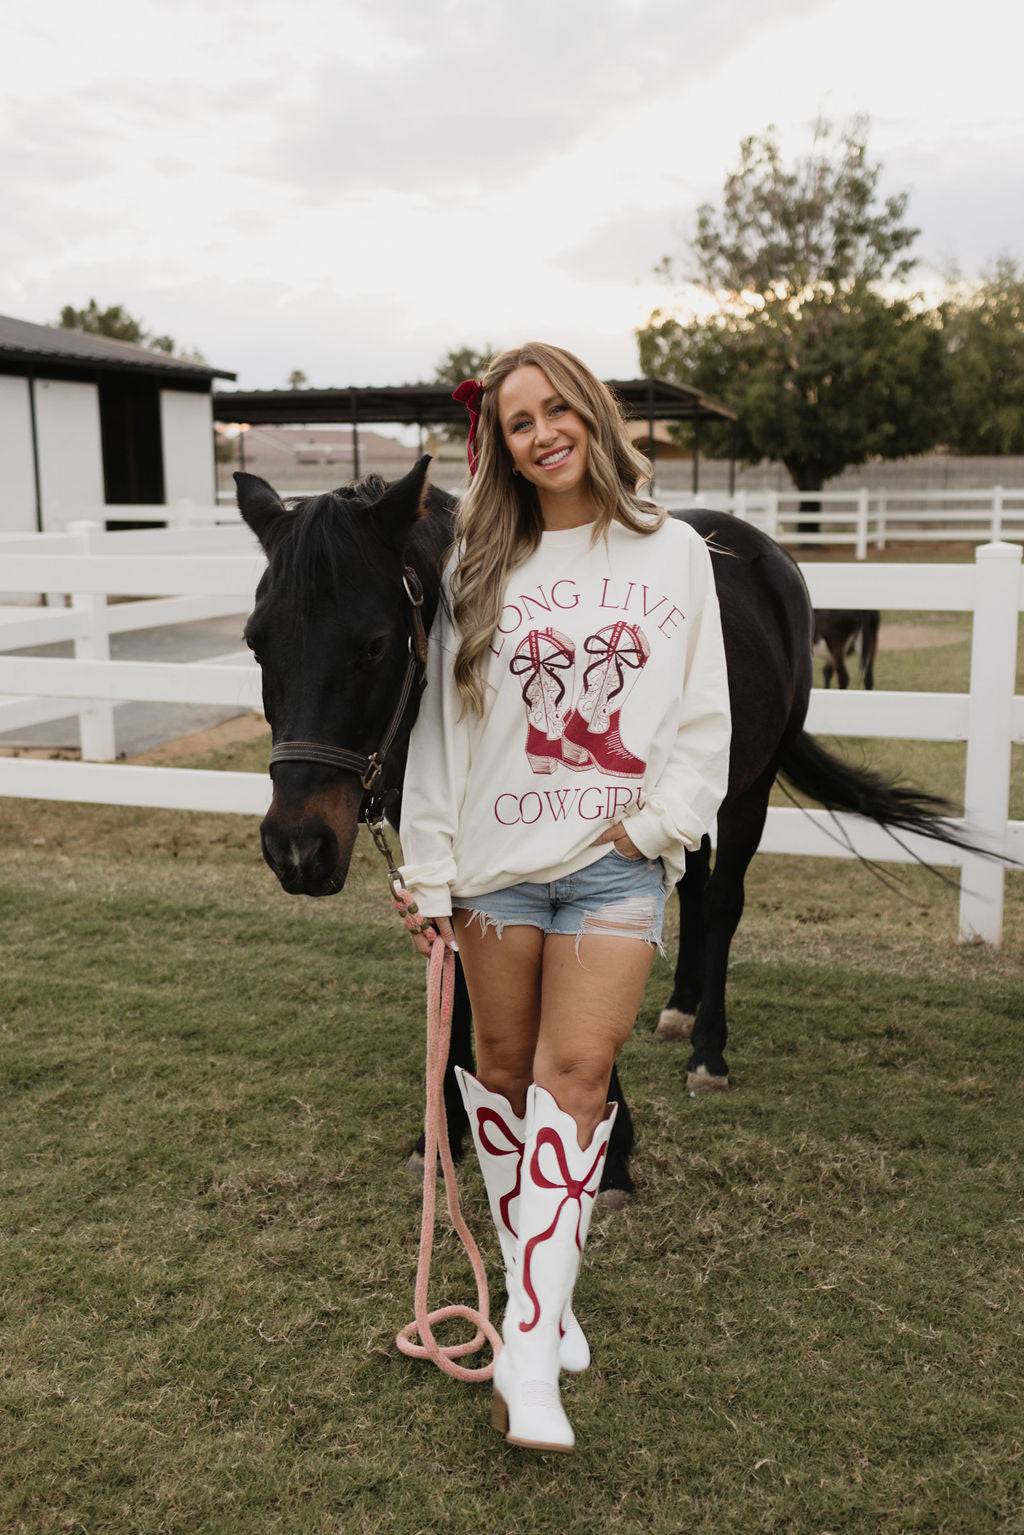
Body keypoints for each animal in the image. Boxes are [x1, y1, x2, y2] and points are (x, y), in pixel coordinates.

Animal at [236, 460, 976, 1191]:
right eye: (256, 644)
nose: (296, 847)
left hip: (747, 791)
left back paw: (708, 1052)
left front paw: (607, 1147)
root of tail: (769, 555)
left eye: (374, 644)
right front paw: (441, 1134)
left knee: (723, 903)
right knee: (694, 888)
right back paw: (679, 1008)